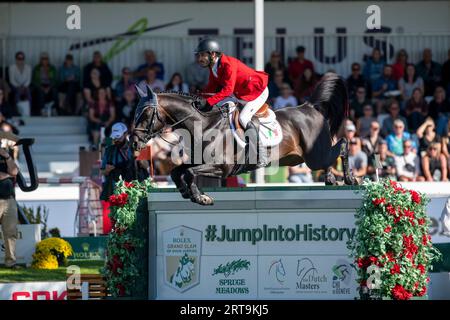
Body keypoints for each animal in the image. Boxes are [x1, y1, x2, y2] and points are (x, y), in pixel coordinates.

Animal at [132, 72, 356, 205]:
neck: (204, 125)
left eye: (145, 114)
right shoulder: (198, 162)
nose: (134, 142)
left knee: (342, 145)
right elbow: (177, 171)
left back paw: (349, 178)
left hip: (314, 156)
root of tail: (310, 107)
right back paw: (331, 178)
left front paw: (200, 197)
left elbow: (188, 173)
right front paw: (188, 193)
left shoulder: (223, 168)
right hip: (299, 158)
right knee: (330, 157)